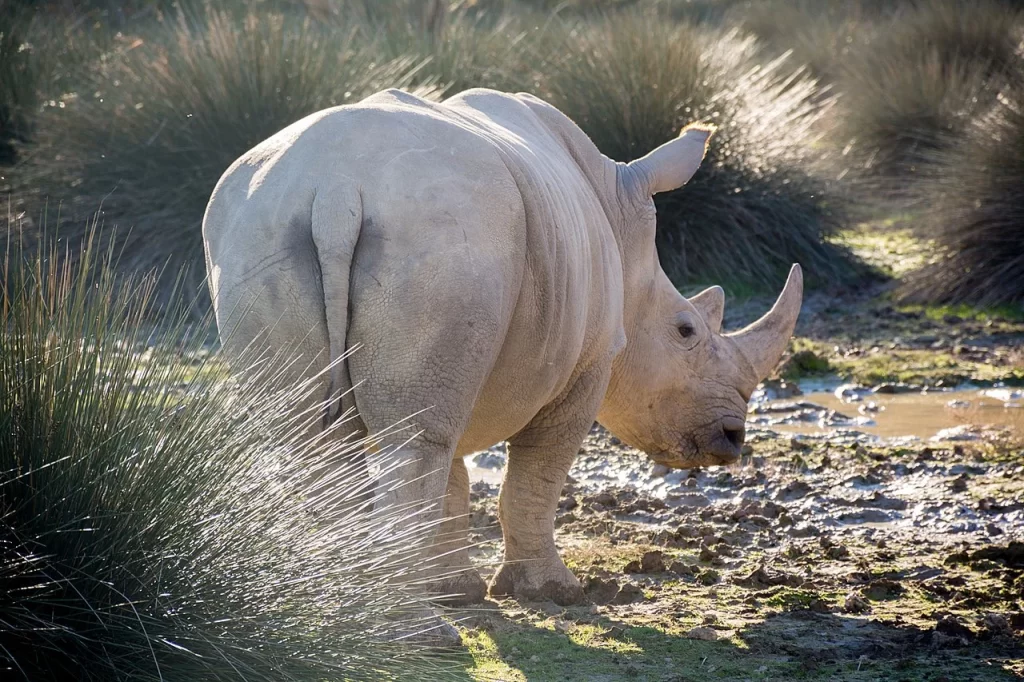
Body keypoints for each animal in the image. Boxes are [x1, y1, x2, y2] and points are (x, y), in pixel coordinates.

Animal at [203, 89, 802, 622]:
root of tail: (336, 190)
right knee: (412, 442)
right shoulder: (588, 364)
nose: (731, 438)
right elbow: (536, 473)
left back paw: (336, 614)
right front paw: (552, 592)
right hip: (444, 237)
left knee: (320, 439)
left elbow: (454, 479)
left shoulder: (466, 354)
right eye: (685, 331)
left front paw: (456, 590)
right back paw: (418, 634)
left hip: (263, 235)